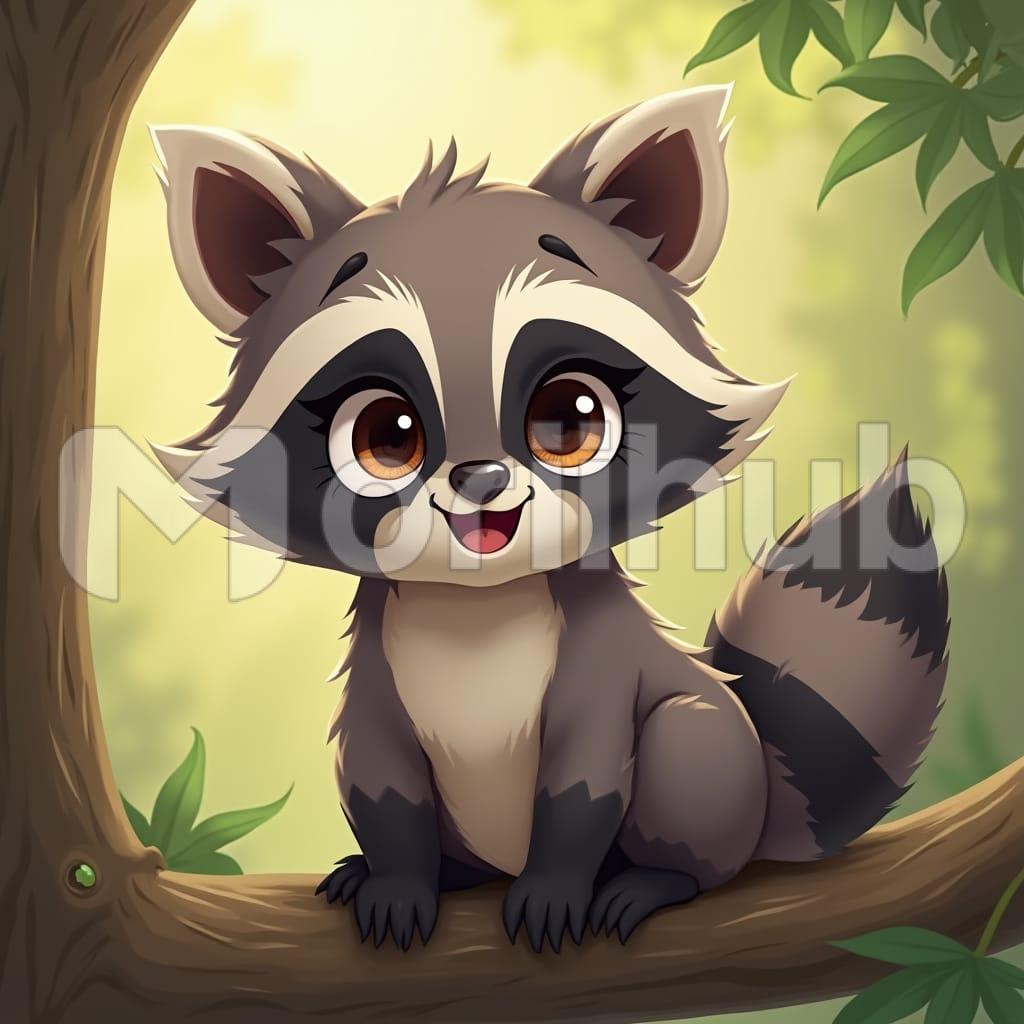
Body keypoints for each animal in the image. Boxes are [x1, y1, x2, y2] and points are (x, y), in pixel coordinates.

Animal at [151, 86, 949, 952]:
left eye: (569, 417)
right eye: (385, 435)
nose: (483, 483)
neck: (476, 610)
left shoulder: (600, 664)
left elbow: (585, 780)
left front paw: (557, 889)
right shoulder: (376, 674)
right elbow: (380, 779)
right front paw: (397, 882)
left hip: (712, 759)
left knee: (688, 749)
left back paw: (655, 880)